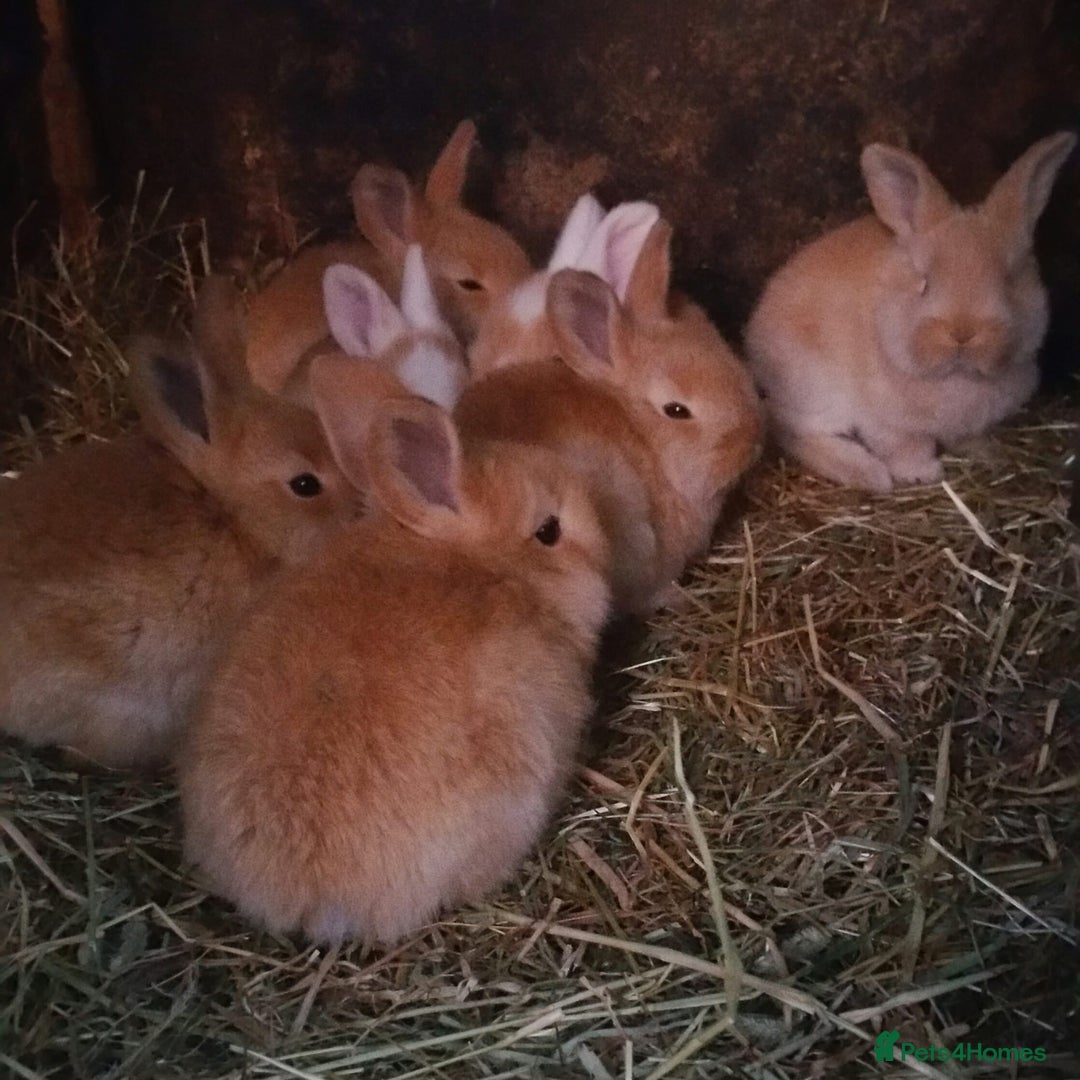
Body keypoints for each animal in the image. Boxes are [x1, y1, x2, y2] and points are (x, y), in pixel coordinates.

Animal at [744, 130, 1078, 493]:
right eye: (924, 283)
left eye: (1009, 281)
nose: (963, 332)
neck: (957, 377)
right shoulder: (888, 424)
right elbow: (907, 447)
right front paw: (922, 473)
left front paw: (987, 454)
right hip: (813, 387)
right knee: (792, 429)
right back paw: (868, 473)